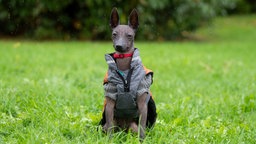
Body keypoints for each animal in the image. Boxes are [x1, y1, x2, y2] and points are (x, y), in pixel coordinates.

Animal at [99, 7, 156, 140]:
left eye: (129, 35)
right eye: (114, 34)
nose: (119, 46)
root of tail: (123, 129)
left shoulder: (142, 104)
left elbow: (142, 128)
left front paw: (142, 141)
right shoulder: (110, 103)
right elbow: (109, 128)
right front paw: (110, 141)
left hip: (133, 127)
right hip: (109, 125)